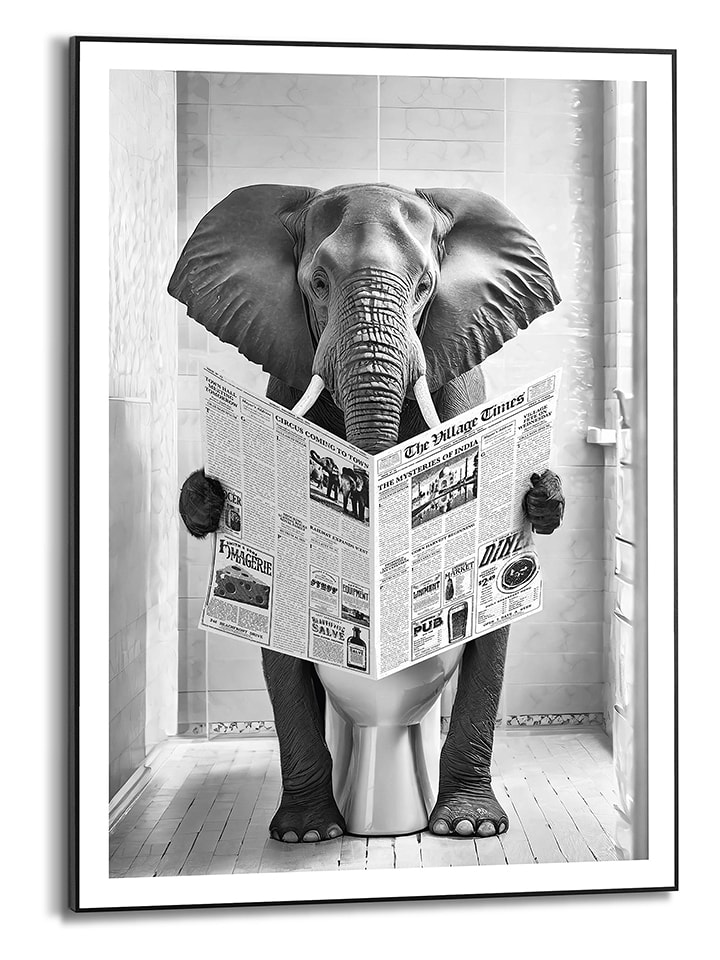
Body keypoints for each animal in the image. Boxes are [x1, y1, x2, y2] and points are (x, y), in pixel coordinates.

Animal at [170, 183, 565, 843]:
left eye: (426, 286)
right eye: (317, 282)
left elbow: (492, 636)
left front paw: (471, 829)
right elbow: (281, 651)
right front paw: (306, 835)